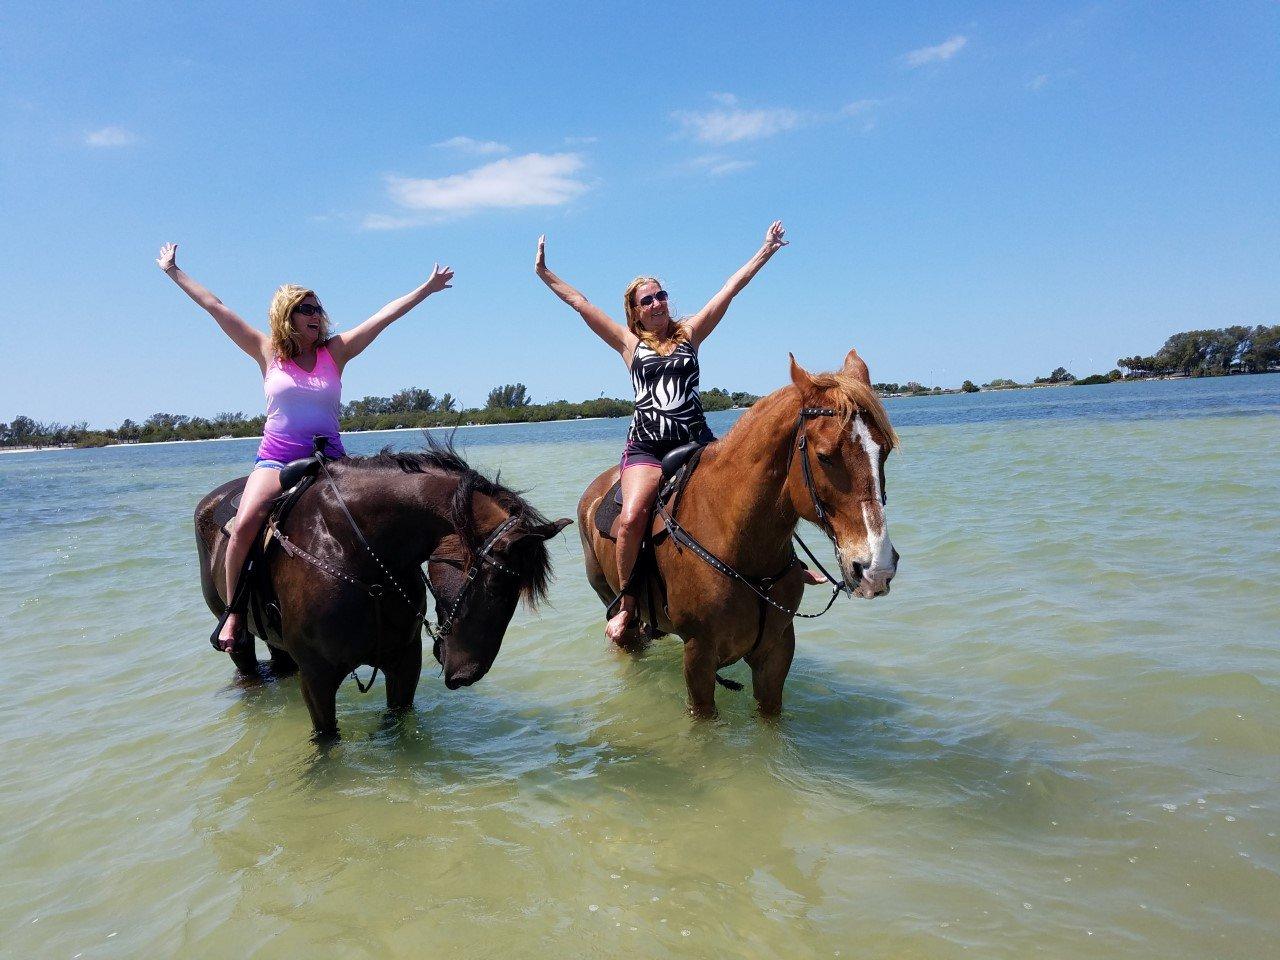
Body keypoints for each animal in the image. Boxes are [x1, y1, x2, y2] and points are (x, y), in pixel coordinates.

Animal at [194, 440, 570, 742]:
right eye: (494, 583)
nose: (469, 675)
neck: (355, 552)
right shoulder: (317, 677)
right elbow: (327, 742)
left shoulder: (404, 662)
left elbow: (396, 726)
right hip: (241, 641)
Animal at [581, 350, 901, 716]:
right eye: (824, 456)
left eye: (884, 451)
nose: (877, 568)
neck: (737, 543)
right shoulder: (699, 657)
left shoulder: (776, 652)